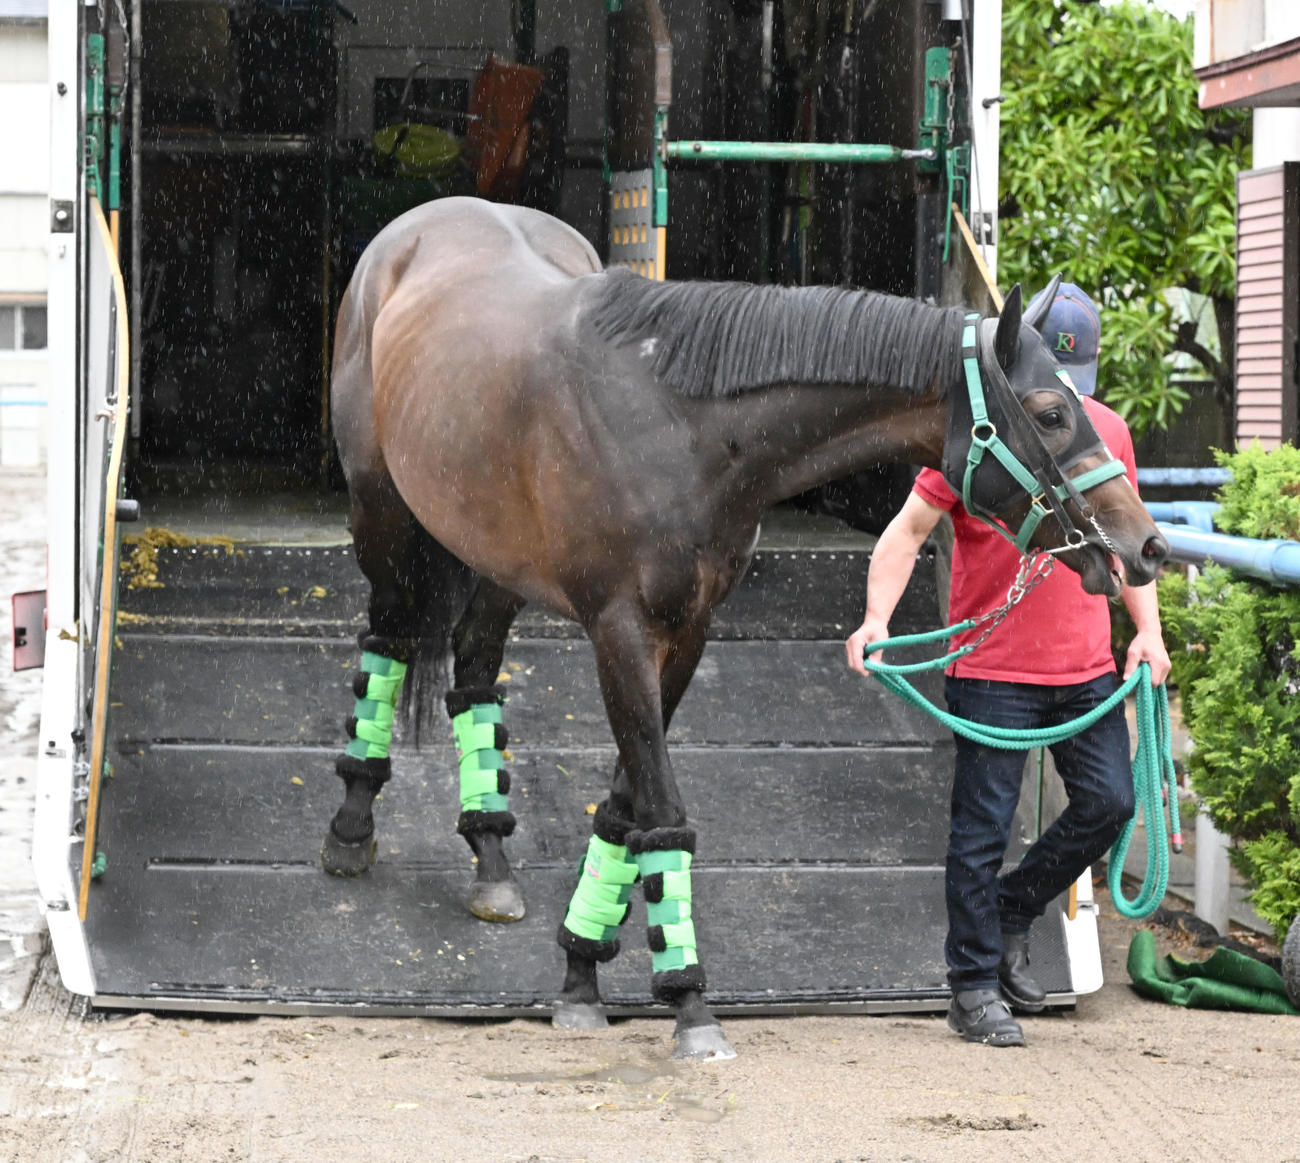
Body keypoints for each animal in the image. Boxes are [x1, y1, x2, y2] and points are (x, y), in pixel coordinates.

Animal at [322, 196, 1169, 1060]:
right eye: (1052, 412)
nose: (1145, 545)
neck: (675, 422)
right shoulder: (619, 631)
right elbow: (661, 810)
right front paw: (690, 1002)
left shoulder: (687, 632)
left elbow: (626, 807)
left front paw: (582, 968)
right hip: (380, 514)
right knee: (388, 641)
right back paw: (350, 830)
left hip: (495, 555)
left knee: (472, 669)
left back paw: (491, 856)